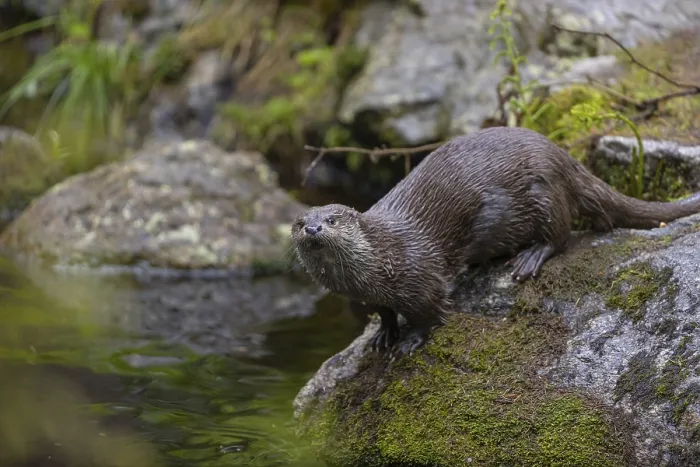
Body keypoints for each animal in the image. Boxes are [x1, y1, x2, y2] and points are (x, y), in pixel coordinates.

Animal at [291, 126, 700, 356]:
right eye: (299, 222)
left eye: (332, 219)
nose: (313, 229)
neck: (380, 261)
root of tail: (563, 156)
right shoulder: (374, 294)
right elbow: (385, 312)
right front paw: (383, 335)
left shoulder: (420, 279)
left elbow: (429, 313)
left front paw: (409, 341)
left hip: (544, 192)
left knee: (561, 234)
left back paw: (529, 259)